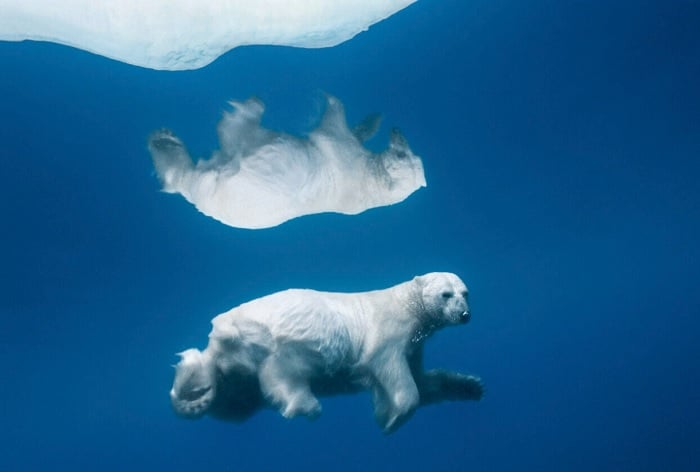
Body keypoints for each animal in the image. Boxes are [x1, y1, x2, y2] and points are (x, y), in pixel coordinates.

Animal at [169, 272, 483, 433]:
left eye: (465, 293)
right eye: (446, 295)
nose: (465, 314)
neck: (406, 303)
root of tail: (219, 338)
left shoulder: (415, 344)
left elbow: (424, 381)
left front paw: (471, 386)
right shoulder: (389, 331)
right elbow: (393, 372)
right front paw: (391, 418)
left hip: (238, 376)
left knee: (233, 402)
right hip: (280, 343)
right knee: (283, 375)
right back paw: (304, 405)